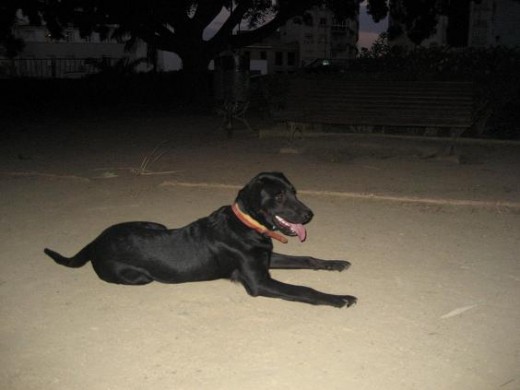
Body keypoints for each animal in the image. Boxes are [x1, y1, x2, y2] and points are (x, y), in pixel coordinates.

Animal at [44, 173, 356, 308]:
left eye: (293, 191)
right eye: (278, 196)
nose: (309, 214)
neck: (248, 225)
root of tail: (96, 240)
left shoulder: (267, 259)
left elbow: (307, 258)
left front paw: (335, 263)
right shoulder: (259, 281)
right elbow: (305, 289)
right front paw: (339, 297)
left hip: (154, 223)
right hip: (139, 276)